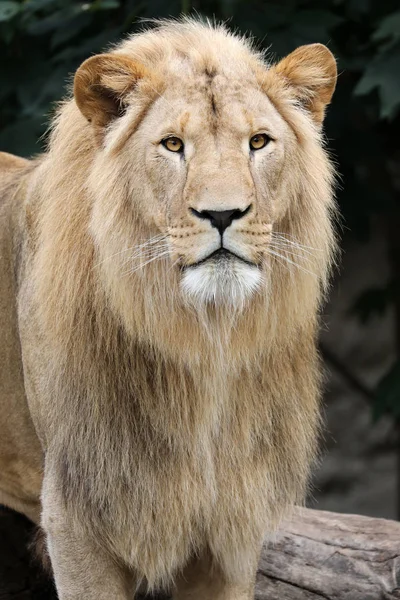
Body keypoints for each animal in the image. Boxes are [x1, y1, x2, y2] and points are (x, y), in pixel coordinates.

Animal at [0, 18, 338, 600]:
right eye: (173, 144)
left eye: (259, 141)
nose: (222, 214)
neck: (203, 340)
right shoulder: (77, 511)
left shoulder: (229, 519)